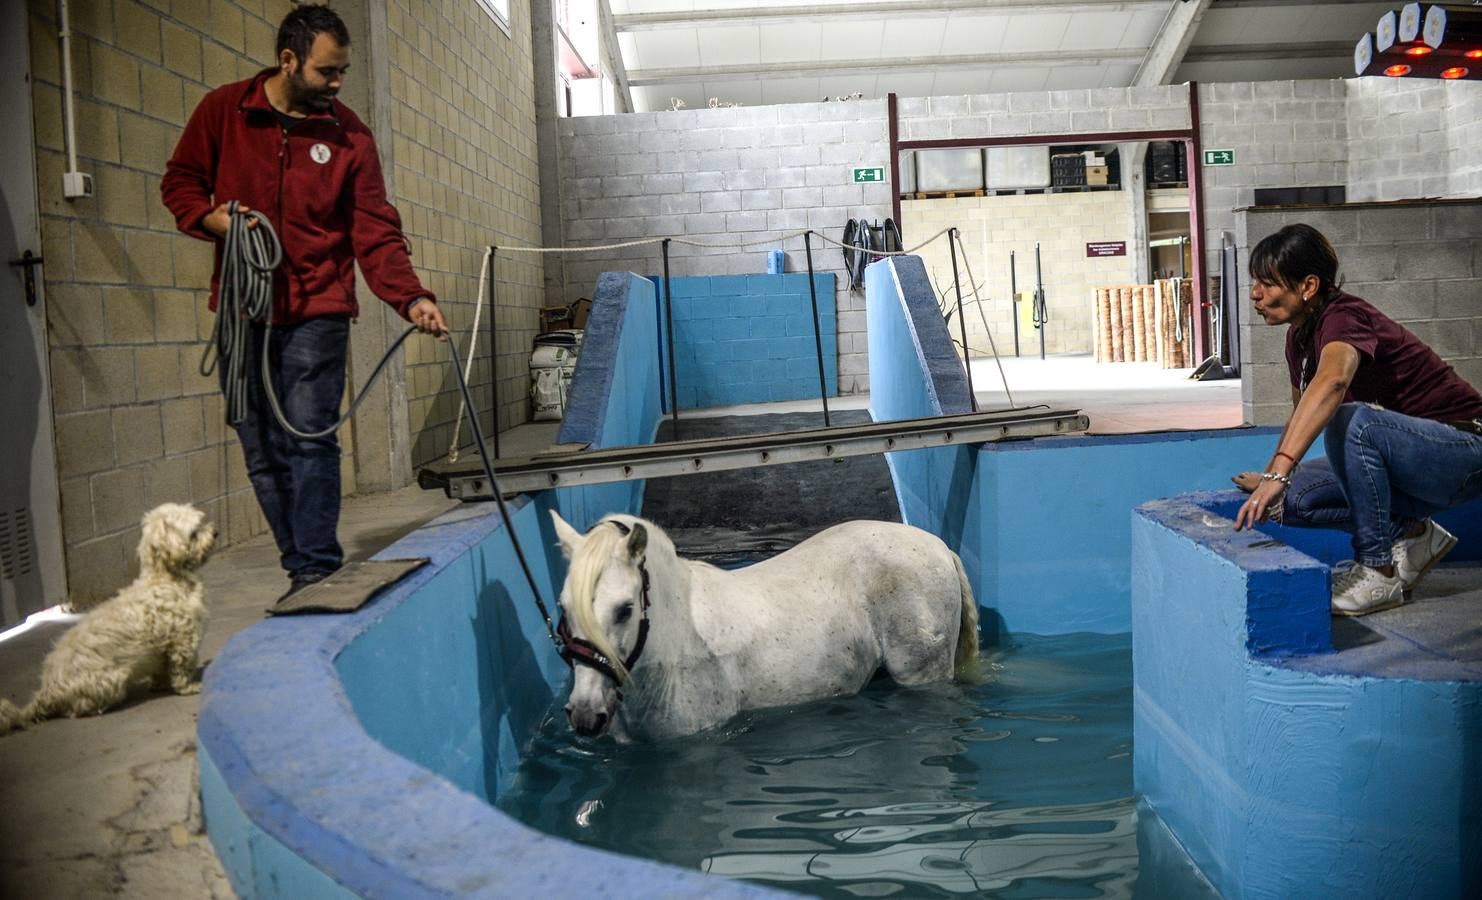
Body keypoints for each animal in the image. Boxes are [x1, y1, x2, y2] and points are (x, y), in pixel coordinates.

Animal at [1, 504, 216, 735]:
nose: (215, 533)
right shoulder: (183, 639)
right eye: (195, 532)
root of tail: (48, 690)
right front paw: (188, 687)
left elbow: (160, 669)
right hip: (112, 679)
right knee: (76, 709)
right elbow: (181, 669)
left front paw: (159, 684)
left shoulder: (161, 649)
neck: (166, 578)